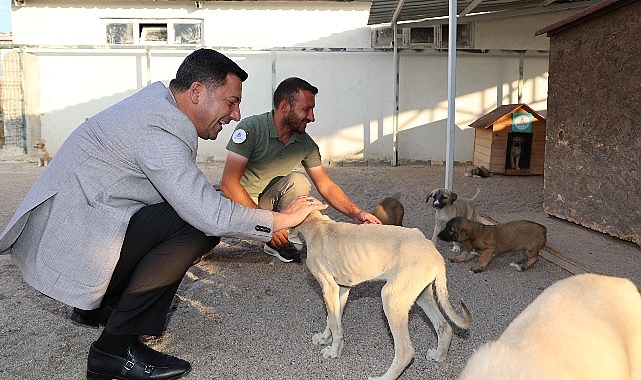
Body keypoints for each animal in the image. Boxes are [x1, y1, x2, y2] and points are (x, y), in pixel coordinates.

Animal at [292, 209, 470, 380]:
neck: (316, 225)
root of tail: (434, 252)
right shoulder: (341, 289)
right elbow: (333, 319)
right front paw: (325, 339)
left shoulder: (329, 288)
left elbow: (335, 325)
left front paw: (333, 352)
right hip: (421, 295)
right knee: (444, 327)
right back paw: (439, 356)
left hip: (392, 298)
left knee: (405, 351)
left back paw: (383, 377)